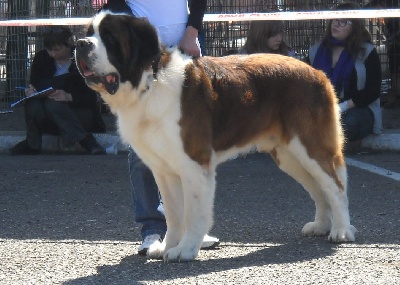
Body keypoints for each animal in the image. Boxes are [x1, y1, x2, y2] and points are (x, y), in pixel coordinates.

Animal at [76, 11, 356, 262]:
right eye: (89, 33)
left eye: (109, 37)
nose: (80, 44)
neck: (150, 82)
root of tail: (317, 72)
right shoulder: (164, 169)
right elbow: (173, 213)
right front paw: (167, 246)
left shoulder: (193, 163)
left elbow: (192, 213)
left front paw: (186, 250)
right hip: (288, 156)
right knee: (319, 189)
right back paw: (321, 225)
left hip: (310, 146)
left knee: (335, 186)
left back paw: (341, 230)